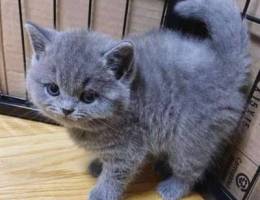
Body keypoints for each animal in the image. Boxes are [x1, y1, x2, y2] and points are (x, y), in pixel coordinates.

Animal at [25, 0, 250, 200]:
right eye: (53, 89)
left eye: (88, 97)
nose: (67, 109)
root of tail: (224, 66)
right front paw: (98, 166)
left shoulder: (128, 148)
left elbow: (115, 174)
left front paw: (102, 193)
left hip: (192, 138)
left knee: (191, 168)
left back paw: (173, 187)